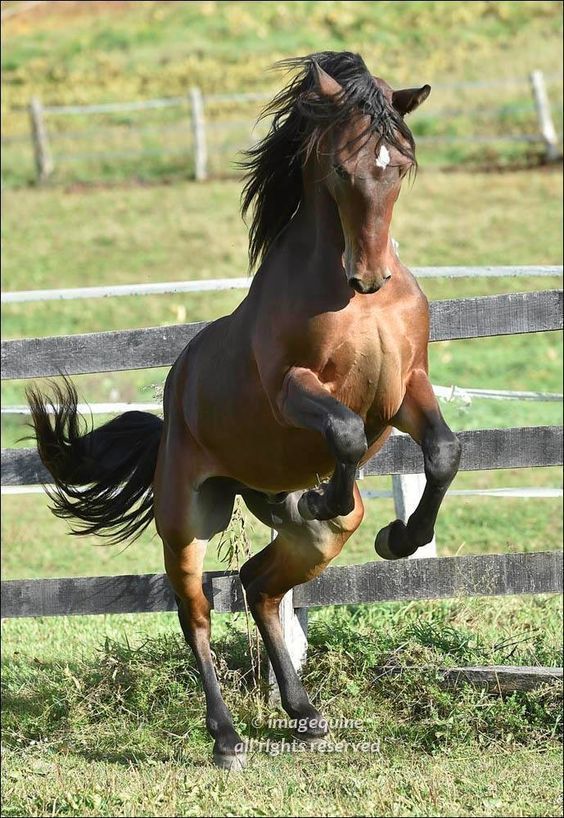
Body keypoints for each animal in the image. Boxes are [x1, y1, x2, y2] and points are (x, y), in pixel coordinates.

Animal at [26, 49, 460, 764]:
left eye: (398, 164)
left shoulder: (408, 389)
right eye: (344, 166)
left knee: (260, 584)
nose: (369, 275)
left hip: (308, 536)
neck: (355, 302)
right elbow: (345, 432)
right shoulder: (291, 390)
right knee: (196, 610)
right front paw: (330, 496)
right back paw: (226, 736)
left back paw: (304, 711)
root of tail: (170, 416)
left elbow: (444, 452)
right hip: (189, 517)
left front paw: (401, 537)